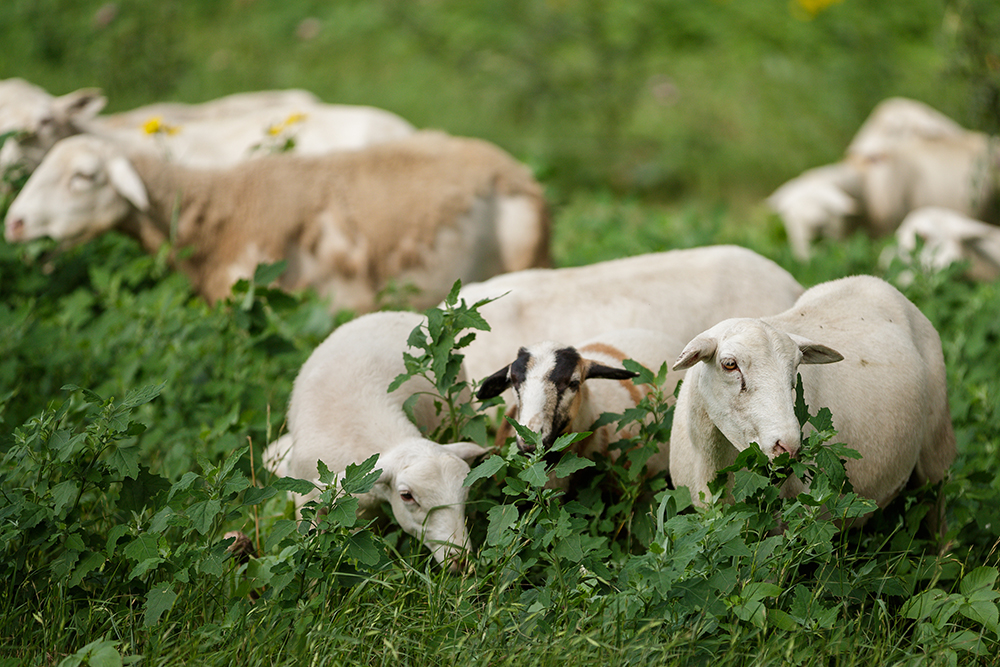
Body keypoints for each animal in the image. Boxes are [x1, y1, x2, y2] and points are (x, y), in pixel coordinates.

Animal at [668, 275, 956, 531]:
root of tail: (875, 281)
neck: (714, 466)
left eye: (796, 367)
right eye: (729, 364)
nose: (788, 447)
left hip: (937, 450)